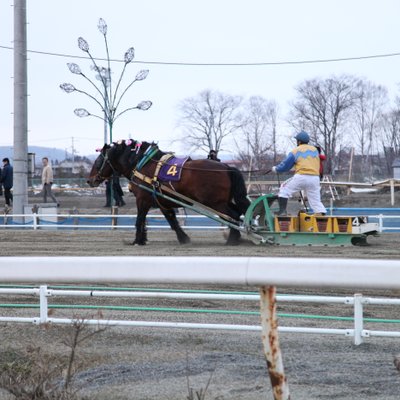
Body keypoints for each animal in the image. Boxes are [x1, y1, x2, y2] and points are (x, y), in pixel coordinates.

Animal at [87, 139, 250, 245]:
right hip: (224, 201)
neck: (143, 165)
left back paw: (232, 239)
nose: (90, 180)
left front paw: (137, 240)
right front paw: (183, 238)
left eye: (98, 161)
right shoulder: (162, 201)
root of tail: (226, 167)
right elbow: (172, 221)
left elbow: (139, 220)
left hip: (215, 203)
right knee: (238, 213)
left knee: (232, 216)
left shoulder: (142, 200)